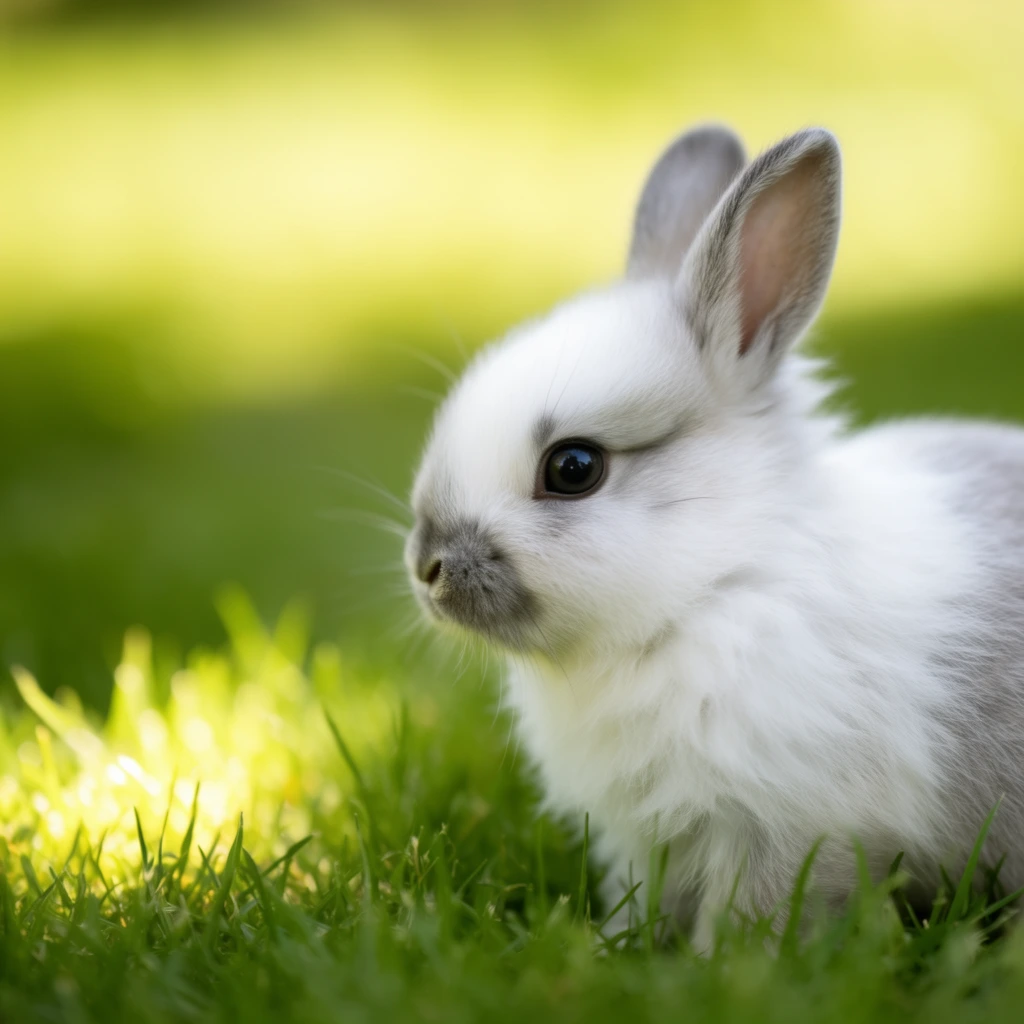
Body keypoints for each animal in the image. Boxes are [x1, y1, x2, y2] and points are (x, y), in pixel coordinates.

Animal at [404, 123, 1024, 950]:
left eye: (573, 468)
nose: (427, 566)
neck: (716, 584)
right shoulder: (652, 840)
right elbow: (648, 900)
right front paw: (613, 947)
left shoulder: (784, 830)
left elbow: (754, 918)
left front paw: (717, 966)